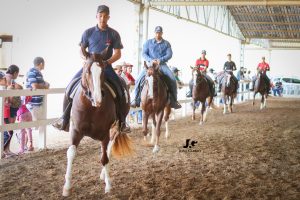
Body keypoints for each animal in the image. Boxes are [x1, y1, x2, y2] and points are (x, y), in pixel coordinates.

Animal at [62, 53, 132, 197]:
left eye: (103, 72)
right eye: (86, 71)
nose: (97, 98)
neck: (91, 107)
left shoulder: (105, 133)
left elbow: (104, 158)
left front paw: (108, 186)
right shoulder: (76, 130)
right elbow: (71, 153)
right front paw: (67, 187)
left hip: (115, 129)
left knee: (108, 150)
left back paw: (104, 176)